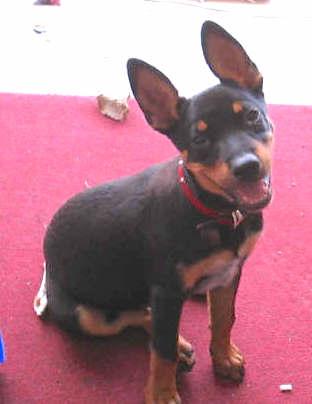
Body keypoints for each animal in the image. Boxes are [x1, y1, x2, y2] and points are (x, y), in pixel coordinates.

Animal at [33, 22, 272, 404]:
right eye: (199, 141)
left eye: (251, 115)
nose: (247, 167)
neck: (216, 213)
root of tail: (47, 267)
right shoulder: (166, 290)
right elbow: (161, 351)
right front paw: (162, 393)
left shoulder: (228, 273)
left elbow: (224, 318)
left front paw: (224, 358)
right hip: (83, 315)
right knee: (135, 317)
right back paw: (179, 346)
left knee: (145, 313)